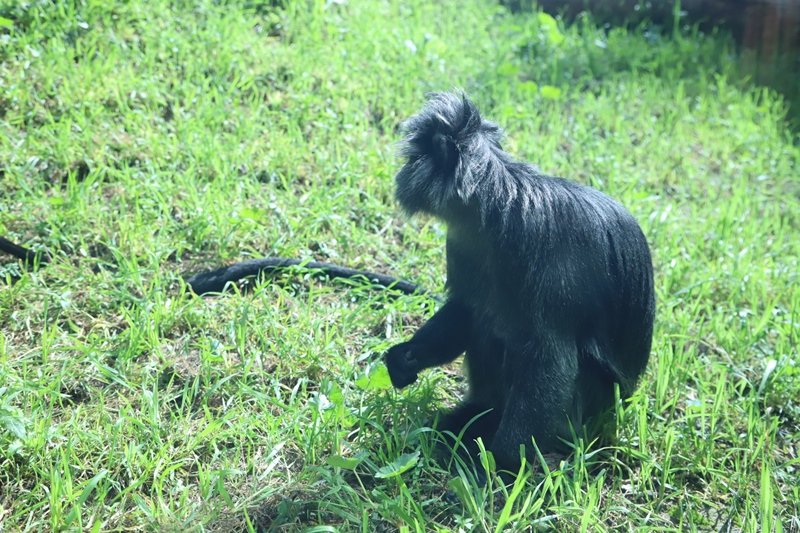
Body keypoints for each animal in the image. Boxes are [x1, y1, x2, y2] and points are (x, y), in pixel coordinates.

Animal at [384, 93, 652, 468]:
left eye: (412, 157)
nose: (401, 173)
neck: (497, 209)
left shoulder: (551, 254)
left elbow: (553, 361)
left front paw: (500, 463)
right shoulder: (462, 242)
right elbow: (466, 310)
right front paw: (407, 356)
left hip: (595, 407)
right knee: (487, 324)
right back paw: (473, 417)